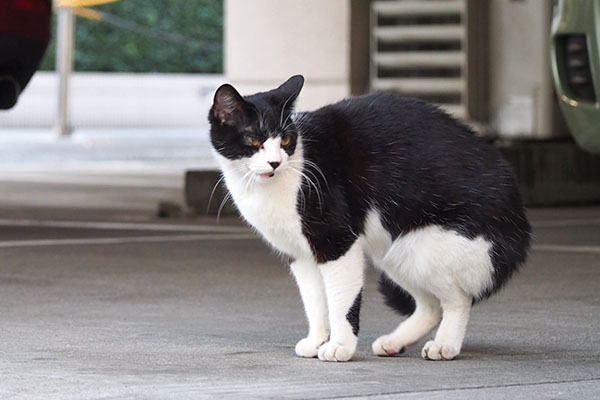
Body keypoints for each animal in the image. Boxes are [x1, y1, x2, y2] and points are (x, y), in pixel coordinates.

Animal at [209, 74, 532, 362]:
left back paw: (445, 346)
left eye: (287, 139)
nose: (275, 162)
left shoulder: (336, 241)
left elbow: (340, 300)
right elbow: (314, 301)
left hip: (426, 246)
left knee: (457, 299)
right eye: (253, 139)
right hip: (396, 251)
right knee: (430, 305)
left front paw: (340, 346)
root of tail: (519, 225)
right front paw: (316, 341)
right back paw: (396, 342)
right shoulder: (300, 254)